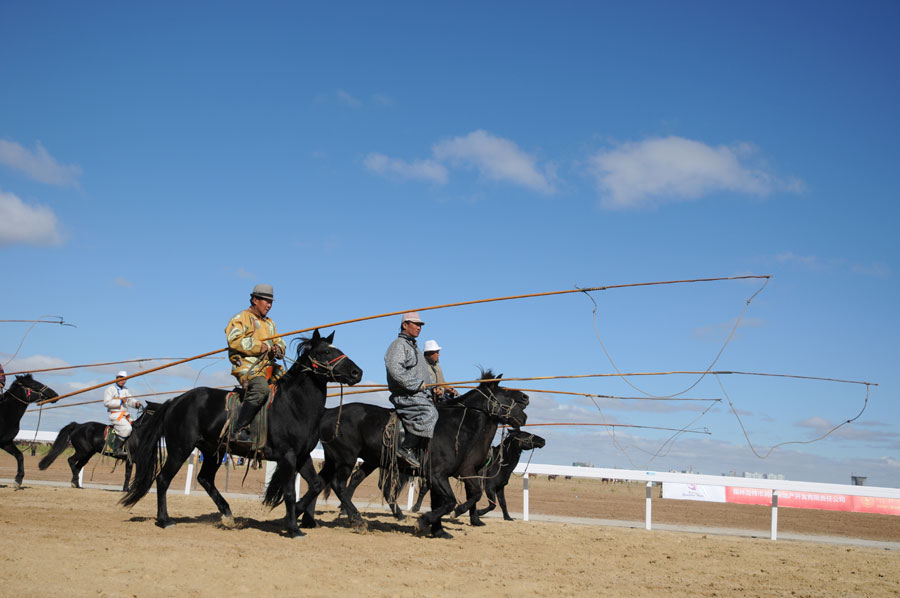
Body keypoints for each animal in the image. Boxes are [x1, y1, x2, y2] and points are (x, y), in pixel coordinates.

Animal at [122, 330, 362, 540]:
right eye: (325, 352)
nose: (357, 373)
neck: (293, 404)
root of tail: (176, 401)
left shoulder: (302, 456)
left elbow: (316, 485)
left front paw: (291, 518)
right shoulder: (288, 457)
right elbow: (290, 493)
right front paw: (293, 528)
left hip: (213, 452)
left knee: (204, 478)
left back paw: (228, 515)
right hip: (180, 449)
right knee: (163, 479)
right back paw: (164, 520)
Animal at [302, 372, 528, 540]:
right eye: (505, 394)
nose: (524, 411)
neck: (453, 427)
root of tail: (330, 412)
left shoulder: (455, 474)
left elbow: (465, 496)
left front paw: (440, 530)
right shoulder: (437, 475)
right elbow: (449, 502)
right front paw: (425, 521)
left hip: (353, 460)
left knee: (323, 482)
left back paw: (309, 518)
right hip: (345, 459)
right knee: (339, 485)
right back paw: (357, 519)